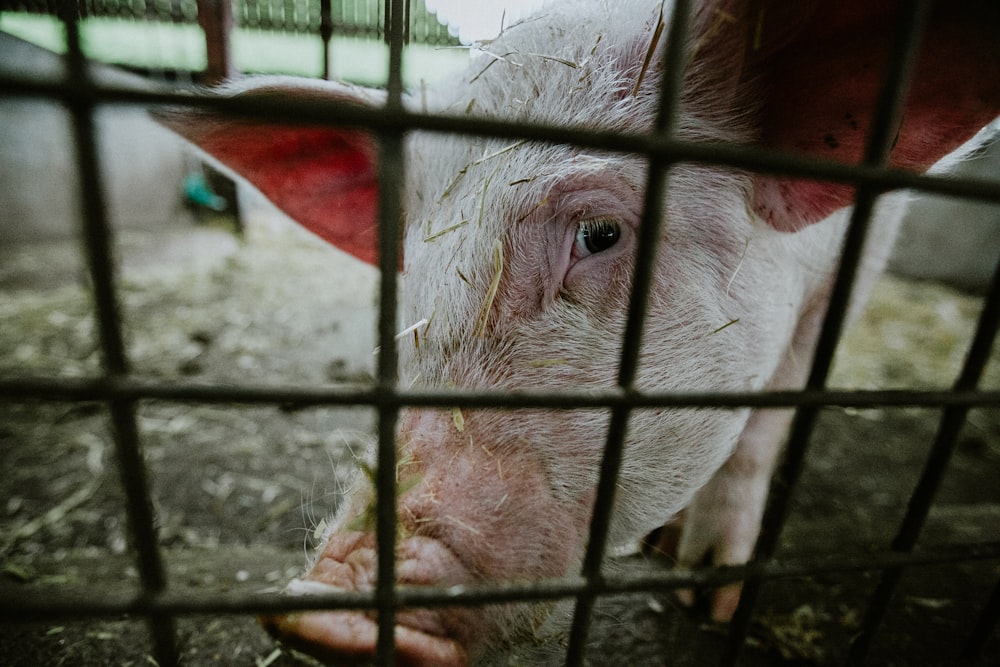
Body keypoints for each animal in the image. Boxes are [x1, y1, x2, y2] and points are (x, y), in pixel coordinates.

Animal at [154, 0, 1000, 664]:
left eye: (599, 234)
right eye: (411, 260)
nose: (323, 614)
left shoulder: (856, 262)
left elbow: (767, 420)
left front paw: (709, 593)